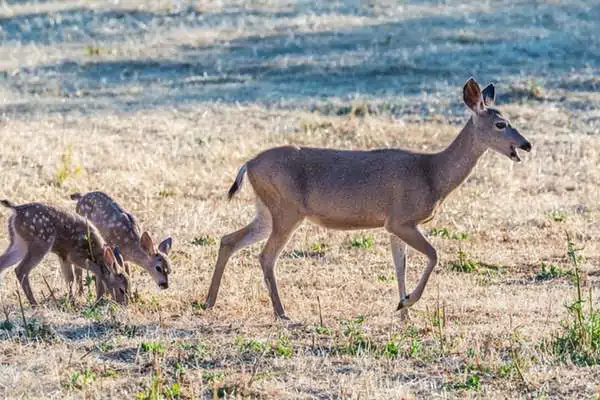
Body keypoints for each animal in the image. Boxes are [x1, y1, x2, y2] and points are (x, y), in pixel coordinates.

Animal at [0, 200, 130, 306]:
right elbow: (96, 271)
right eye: (122, 289)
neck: (94, 250)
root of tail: (17, 209)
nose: (124, 304)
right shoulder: (75, 255)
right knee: (21, 270)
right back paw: (34, 304)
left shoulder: (63, 255)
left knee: (4, 263)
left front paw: (72, 301)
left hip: (19, 242)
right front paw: (96, 300)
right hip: (40, 242)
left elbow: (69, 278)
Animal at [204, 78, 532, 318]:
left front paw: (403, 311)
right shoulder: (401, 220)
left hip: (266, 211)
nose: (526, 144)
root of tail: (248, 164)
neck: (432, 173)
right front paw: (407, 303)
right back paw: (281, 312)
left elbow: (400, 266)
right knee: (266, 256)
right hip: (286, 210)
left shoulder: (395, 225)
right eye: (501, 124)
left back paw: (209, 301)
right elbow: (434, 255)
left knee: (229, 239)